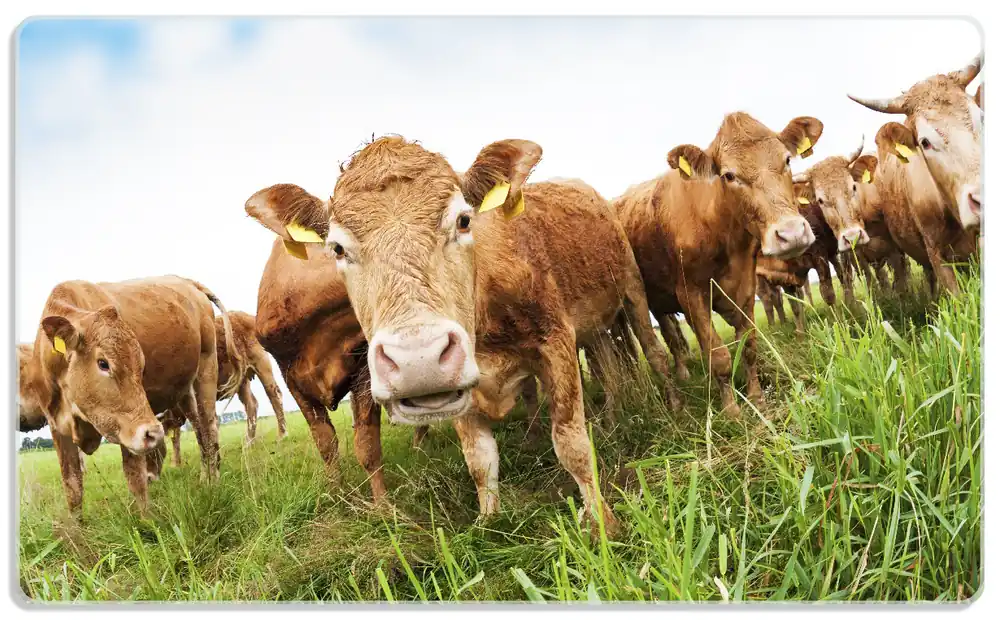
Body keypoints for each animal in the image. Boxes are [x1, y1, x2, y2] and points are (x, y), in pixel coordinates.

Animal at [20, 276, 240, 516]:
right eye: (103, 363)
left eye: (141, 366)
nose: (154, 433)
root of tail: (187, 282)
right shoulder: (58, 427)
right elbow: (72, 488)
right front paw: (77, 527)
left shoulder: (130, 428)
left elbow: (135, 480)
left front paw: (147, 521)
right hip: (185, 393)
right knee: (200, 430)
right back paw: (204, 479)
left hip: (206, 371)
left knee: (209, 430)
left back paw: (213, 483)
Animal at [156, 311, 289, 467]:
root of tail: (246, 316)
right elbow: (176, 436)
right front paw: (176, 464)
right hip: (242, 380)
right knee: (251, 405)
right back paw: (249, 443)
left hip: (262, 364)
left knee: (274, 395)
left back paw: (282, 434)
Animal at [244, 137, 685, 535]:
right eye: (337, 248)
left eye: (463, 220)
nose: (418, 358)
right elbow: (479, 459)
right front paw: (489, 522)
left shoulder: (556, 342)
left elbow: (571, 443)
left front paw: (603, 524)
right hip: (595, 328)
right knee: (609, 369)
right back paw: (613, 416)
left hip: (632, 290)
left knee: (653, 352)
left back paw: (671, 408)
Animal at [615, 112, 822, 416]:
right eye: (729, 175)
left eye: (786, 160)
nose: (792, 233)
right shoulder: (691, 295)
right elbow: (718, 354)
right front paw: (731, 410)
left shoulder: (746, 288)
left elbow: (748, 346)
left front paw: (756, 397)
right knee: (668, 340)